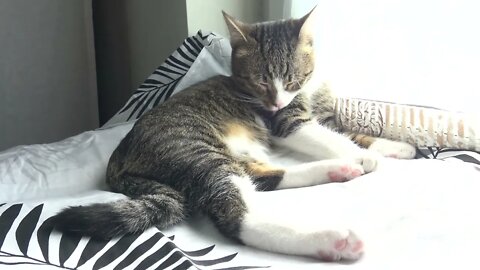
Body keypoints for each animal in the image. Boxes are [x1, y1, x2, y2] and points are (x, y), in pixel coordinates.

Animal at [51, 7, 412, 262]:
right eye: (261, 82)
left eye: (292, 78)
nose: (277, 100)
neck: (307, 91)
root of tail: (118, 160)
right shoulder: (287, 122)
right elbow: (330, 138)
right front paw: (368, 156)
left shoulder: (321, 115)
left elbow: (348, 133)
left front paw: (394, 147)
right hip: (198, 152)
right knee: (237, 215)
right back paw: (332, 238)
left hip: (229, 155)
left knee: (264, 177)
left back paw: (340, 169)